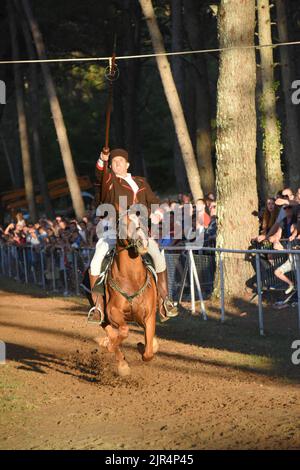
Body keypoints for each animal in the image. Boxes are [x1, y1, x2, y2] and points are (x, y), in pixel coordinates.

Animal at [96, 213, 158, 374]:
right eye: (124, 224)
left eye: (142, 221)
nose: (142, 242)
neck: (131, 279)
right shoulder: (112, 311)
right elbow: (123, 331)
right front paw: (111, 347)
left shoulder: (148, 315)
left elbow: (148, 353)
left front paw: (144, 346)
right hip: (102, 316)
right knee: (112, 332)